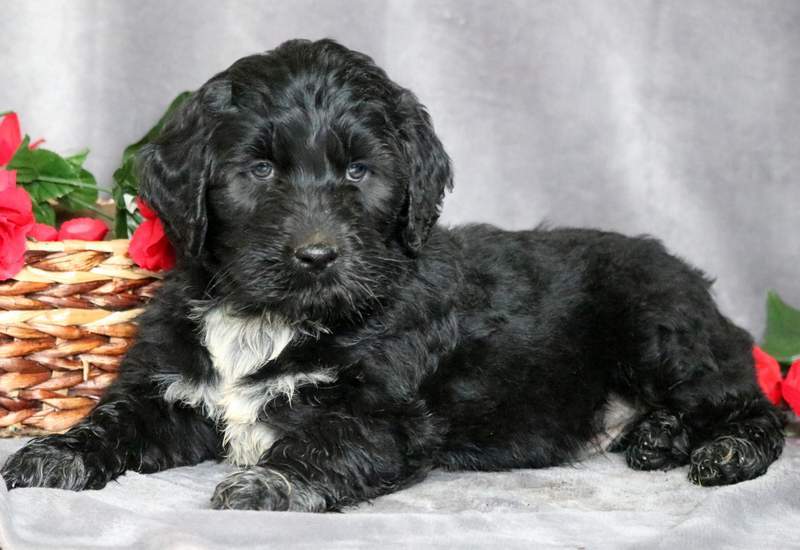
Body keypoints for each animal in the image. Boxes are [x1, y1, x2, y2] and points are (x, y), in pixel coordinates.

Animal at [0, 40, 784, 512]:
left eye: (359, 172)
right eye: (260, 170)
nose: (318, 256)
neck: (269, 315)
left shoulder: (386, 414)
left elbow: (322, 443)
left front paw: (268, 483)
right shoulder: (174, 395)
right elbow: (115, 418)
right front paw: (55, 454)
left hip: (660, 331)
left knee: (758, 406)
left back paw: (724, 450)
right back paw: (658, 436)